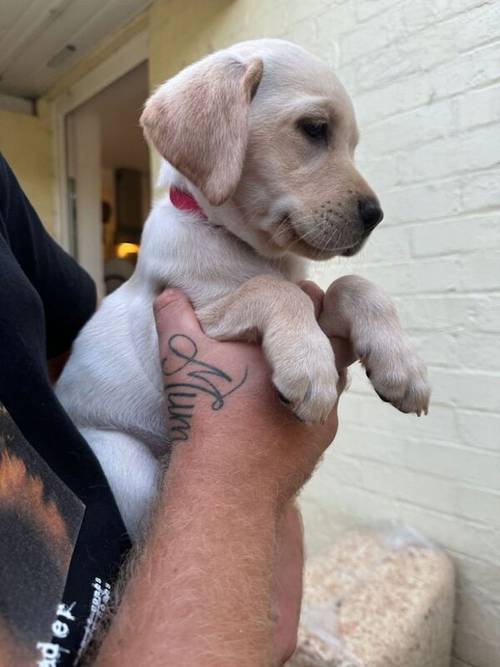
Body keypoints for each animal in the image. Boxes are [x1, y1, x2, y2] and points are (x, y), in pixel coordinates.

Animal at [55, 40, 430, 544]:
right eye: (314, 128)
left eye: (352, 145)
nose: (376, 216)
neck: (251, 248)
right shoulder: (200, 316)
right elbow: (275, 291)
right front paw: (307, 365)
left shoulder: (322, 309)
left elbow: (352, 284)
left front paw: (402, 366)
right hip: (124, 460)